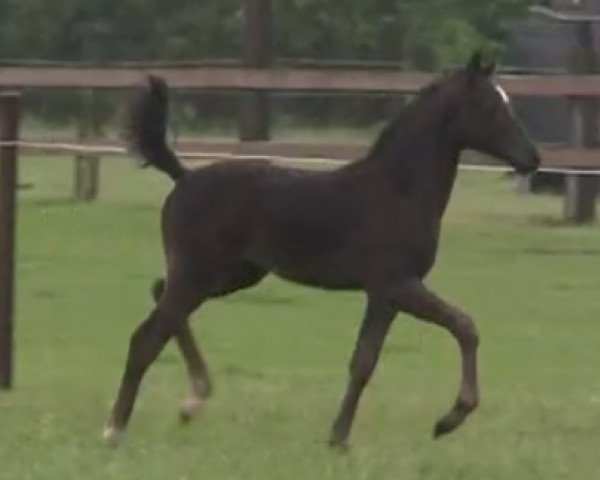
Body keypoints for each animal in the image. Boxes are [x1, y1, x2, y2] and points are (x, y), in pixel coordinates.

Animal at [102, 50, 540, 448]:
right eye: (489, 106)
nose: (532, 159)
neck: (398, 190)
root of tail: (184, 177)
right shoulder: (397, 283)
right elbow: (465, 326)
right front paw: (449, 419)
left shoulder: (385, 294)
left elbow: (364, 361)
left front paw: (339, 438)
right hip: (199, 274)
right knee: (145, 337)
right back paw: (116, 429)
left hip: (230, 275)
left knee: (160, 294)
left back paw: (194, 398)